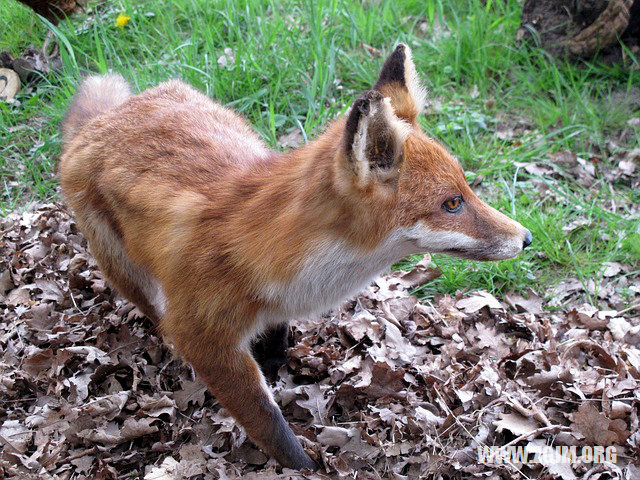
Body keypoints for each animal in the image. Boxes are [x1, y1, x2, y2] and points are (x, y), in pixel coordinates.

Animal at [58, 43, 528, 470]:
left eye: (466, 188)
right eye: (452, 204)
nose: (525, 238)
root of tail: (104, 118)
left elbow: (276, 344)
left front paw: (276, 362)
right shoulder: (204, 336)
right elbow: (267, 420)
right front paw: (302, 466)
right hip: (128, 274)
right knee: (154, 313)